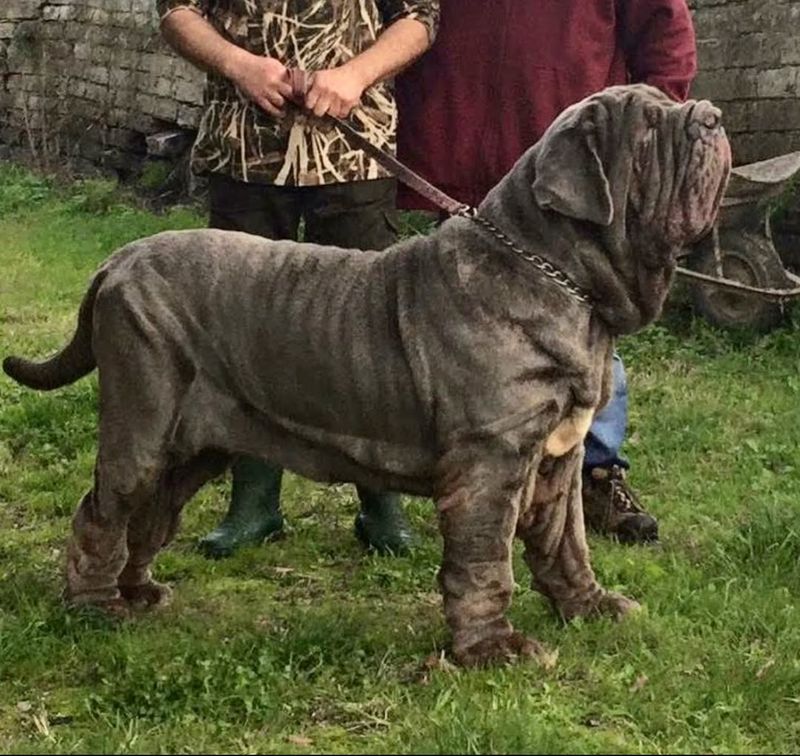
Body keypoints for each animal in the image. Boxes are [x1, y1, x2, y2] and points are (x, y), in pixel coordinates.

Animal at [6, 85, 732, 668]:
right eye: (648, 130)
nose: (713, 117)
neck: (557, 273)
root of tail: (117, 262)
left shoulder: (557, 458)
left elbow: (566, 544)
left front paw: (590, 606)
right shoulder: (491, 463)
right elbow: (485, 563)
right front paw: (493, 649)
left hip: (196, 446)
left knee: (151, 516)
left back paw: (140, 592)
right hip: (143, 421)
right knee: (103, 509)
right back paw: (94, 605)